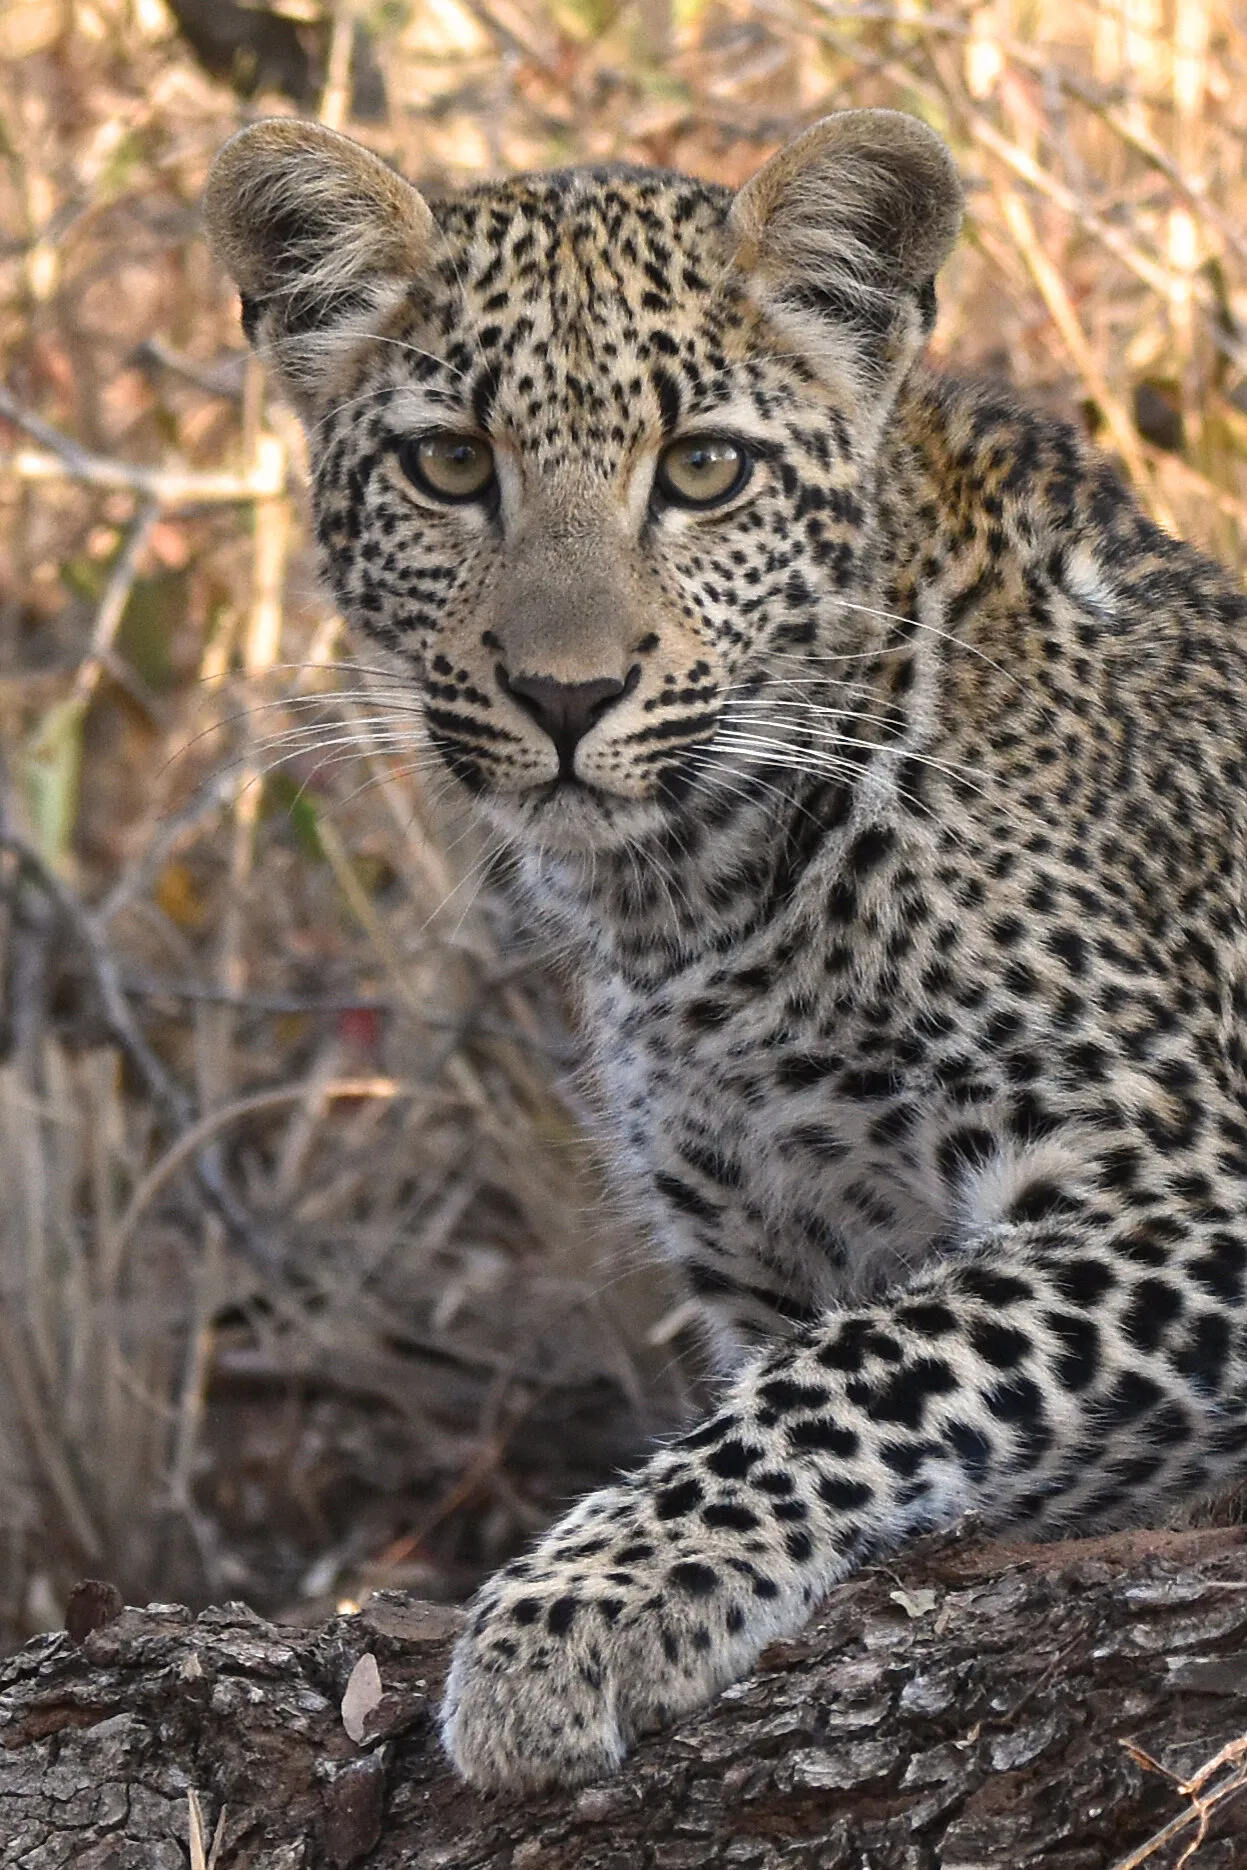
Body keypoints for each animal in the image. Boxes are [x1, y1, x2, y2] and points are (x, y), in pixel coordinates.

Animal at [205, 108, 1247, 1794]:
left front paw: (574, 1612)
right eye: (448, 464)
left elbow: (873, 1363)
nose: (565, 697)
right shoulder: (764, 1251)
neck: (692, 903)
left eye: (703, 469)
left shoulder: (1185, 1179)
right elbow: (849, 1360)